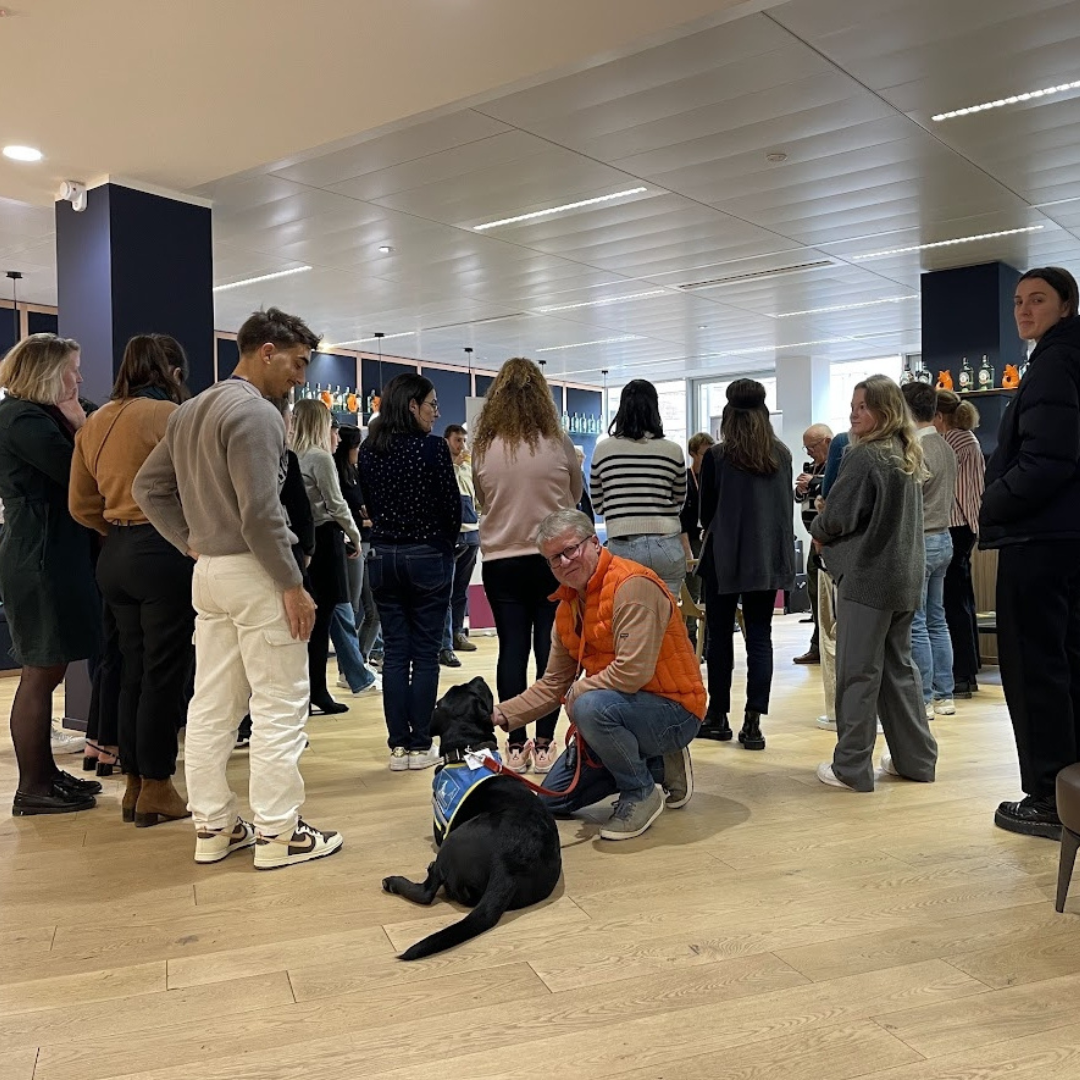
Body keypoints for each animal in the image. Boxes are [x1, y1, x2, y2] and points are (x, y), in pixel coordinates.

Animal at [382, 673, 565, 963]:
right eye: (476, 692)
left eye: (461, 690)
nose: (477, 677)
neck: (466, 749)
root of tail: (508, 867)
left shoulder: (440, 826)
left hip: (451, 843)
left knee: (427, 892)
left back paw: (397, 881)